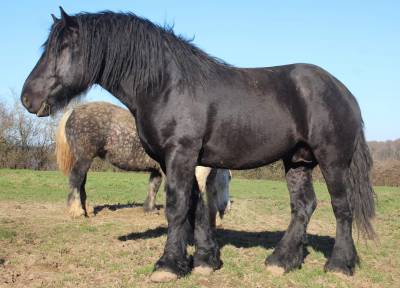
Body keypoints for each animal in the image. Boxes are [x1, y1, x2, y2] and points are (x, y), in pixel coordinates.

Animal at [20, 8, 374, 282]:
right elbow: (196, 206)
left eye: (65, 47)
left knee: (342, 208)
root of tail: (343, 91)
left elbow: (177, 207)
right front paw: (205, 260)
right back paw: (281, 261)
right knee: (303, 206)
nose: (28, 98)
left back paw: (340, 265)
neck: (166, 85)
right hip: (298, 161)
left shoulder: (181, 154)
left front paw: (168, 265)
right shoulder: (181, 160)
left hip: (332, 160)